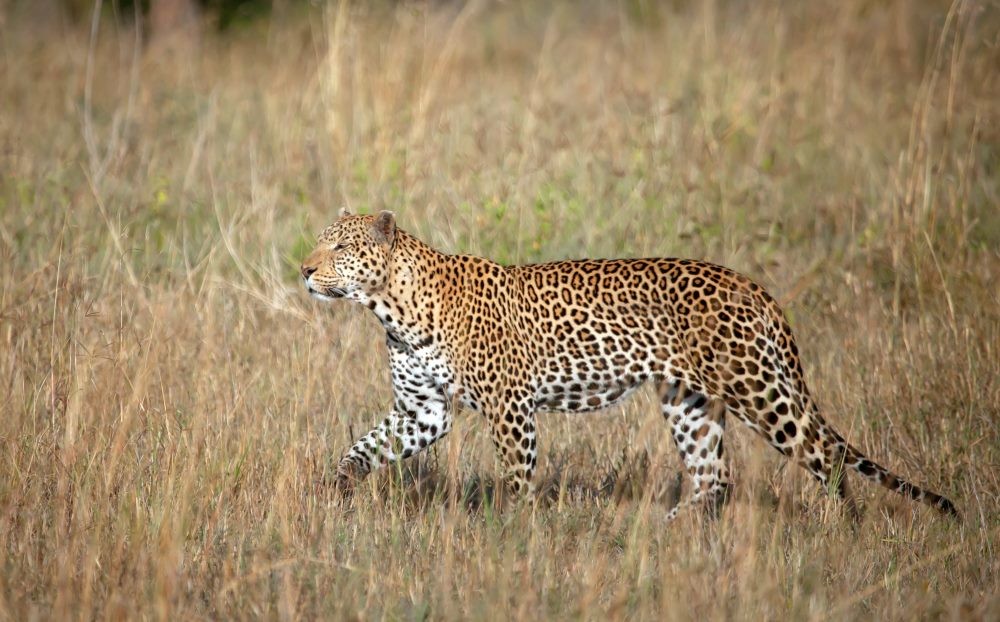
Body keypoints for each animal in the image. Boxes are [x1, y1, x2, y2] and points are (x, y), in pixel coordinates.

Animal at [300, 209, 958, 520]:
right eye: (319, 241)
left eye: (340, 247)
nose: (304, 269)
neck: (391, 307)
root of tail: (754, 287)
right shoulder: (424, 410)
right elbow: (363, 448)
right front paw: (336, 492)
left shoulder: (510, 408)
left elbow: (518, 478)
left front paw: (515, 533)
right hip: (688, 400)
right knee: (715, 477)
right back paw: (667, 533)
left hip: (760, 390)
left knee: (826, 458)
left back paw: (841, 531)